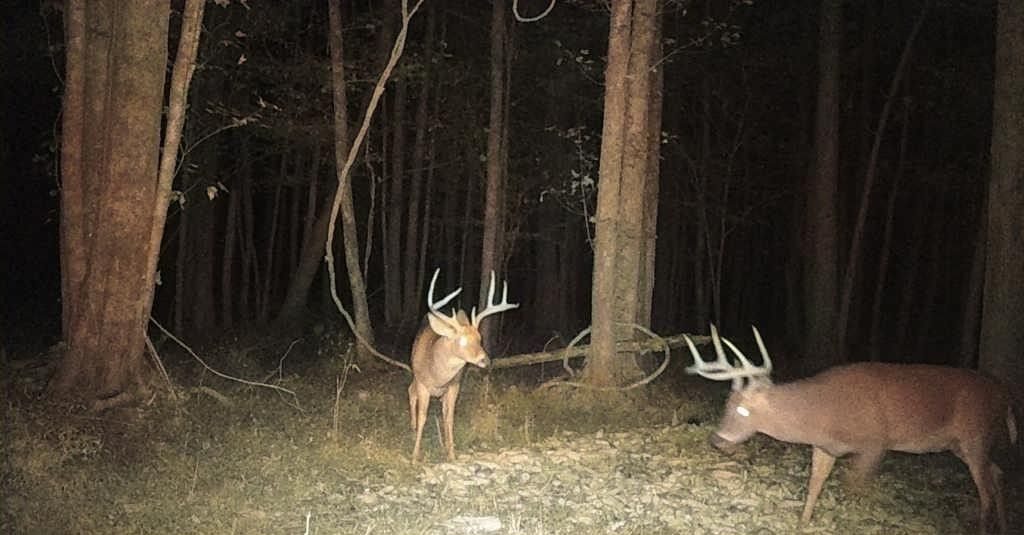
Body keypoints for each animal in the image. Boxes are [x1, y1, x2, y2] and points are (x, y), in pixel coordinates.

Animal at [408, 268, 518, 463]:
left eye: (480, 338)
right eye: (462, 341)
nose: (485, 360)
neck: (438, 376)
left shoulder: (454, 385)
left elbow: (449, 418)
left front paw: (451, 453)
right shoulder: (423, 383)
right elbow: (423, 417)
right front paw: (415, 456)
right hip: (415, 373)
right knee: (410, 391)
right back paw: (412, 427)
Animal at [684, 325, 1018, 534]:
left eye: (742, 410)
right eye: (726, 403)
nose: (716, 439)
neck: (823, 414)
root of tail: (1004, 393)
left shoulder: (875, 443)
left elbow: (853, 487)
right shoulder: (824, 446)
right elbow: (814, 485)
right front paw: (802, 524)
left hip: (975, 435)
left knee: (986, 489)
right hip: (961, 445)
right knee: (998, 472)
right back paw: (1003, 526)